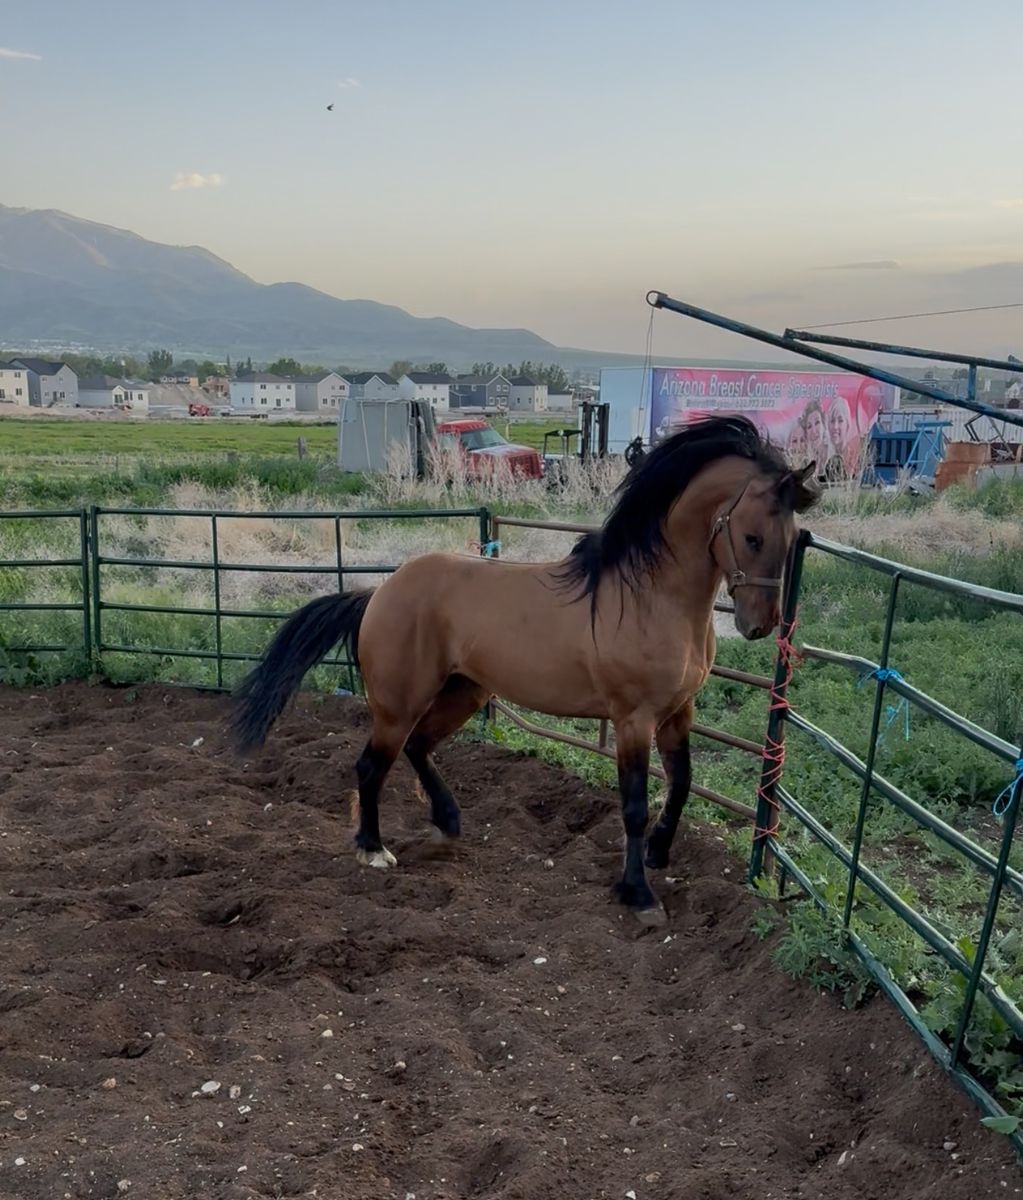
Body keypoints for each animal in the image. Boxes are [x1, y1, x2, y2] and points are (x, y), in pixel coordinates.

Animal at [231, 415, 818, 924]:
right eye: (753, 538)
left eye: (791, 541)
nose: (758, 625)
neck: (650, 597)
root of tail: (379, 594)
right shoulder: (633, 719)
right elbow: (633, 805)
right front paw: (639, 894)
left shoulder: (678, 713)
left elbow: (681, 785)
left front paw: (658, 854)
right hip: (399, 705)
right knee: (372, 766)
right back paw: (373, 850)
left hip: (463, 692)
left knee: (419, 749)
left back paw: (447, 825)